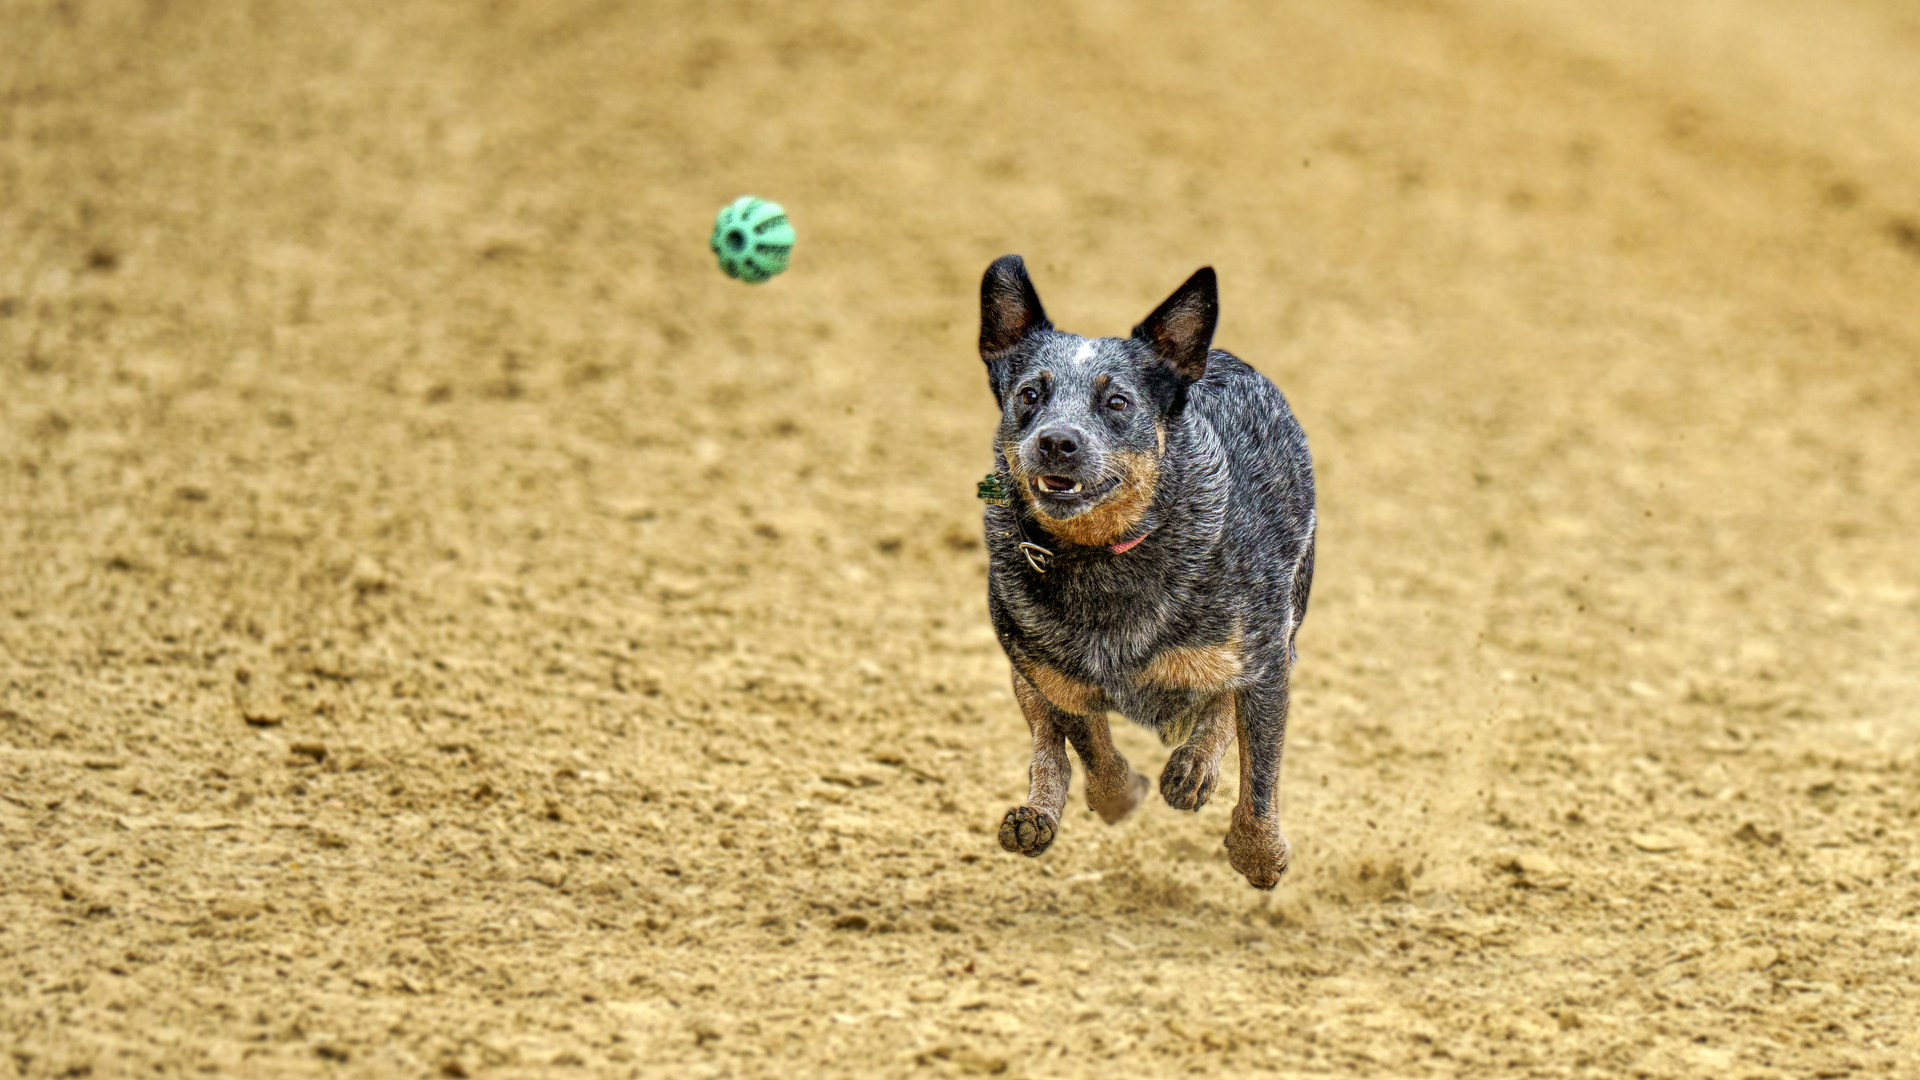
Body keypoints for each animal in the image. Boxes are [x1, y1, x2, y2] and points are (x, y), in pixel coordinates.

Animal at [975, 253, 1320, 883]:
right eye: (1030, 394)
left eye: (1117, 402)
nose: (1056, 441)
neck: (1103, 556)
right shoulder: (1059, 680)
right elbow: (1093, 752)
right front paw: (1114, 797)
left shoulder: (1266, 658)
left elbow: (1259, 767)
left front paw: (1258, 851)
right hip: (1020, 664)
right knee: (1046, 744)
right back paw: (1038, 813)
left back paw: (1193, 767)